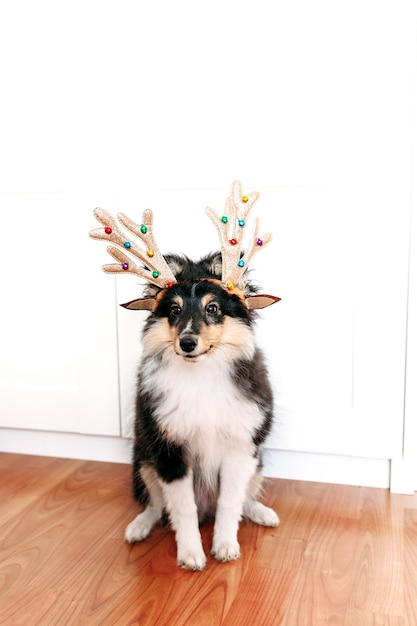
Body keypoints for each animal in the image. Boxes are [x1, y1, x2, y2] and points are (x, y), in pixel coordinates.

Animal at [124, 250, 280, 572]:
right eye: (174, 310)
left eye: (212, 308)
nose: (187, 343)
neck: (201, 373)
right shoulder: (169, 452)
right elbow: (182, 508)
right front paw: (191, 555)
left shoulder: (240, 448)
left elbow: (230, 502)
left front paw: (225, 546)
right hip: (144, 461)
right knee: (156, 506)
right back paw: (138, 527)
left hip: (257, 462)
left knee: (245, 498)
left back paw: (263, 514)